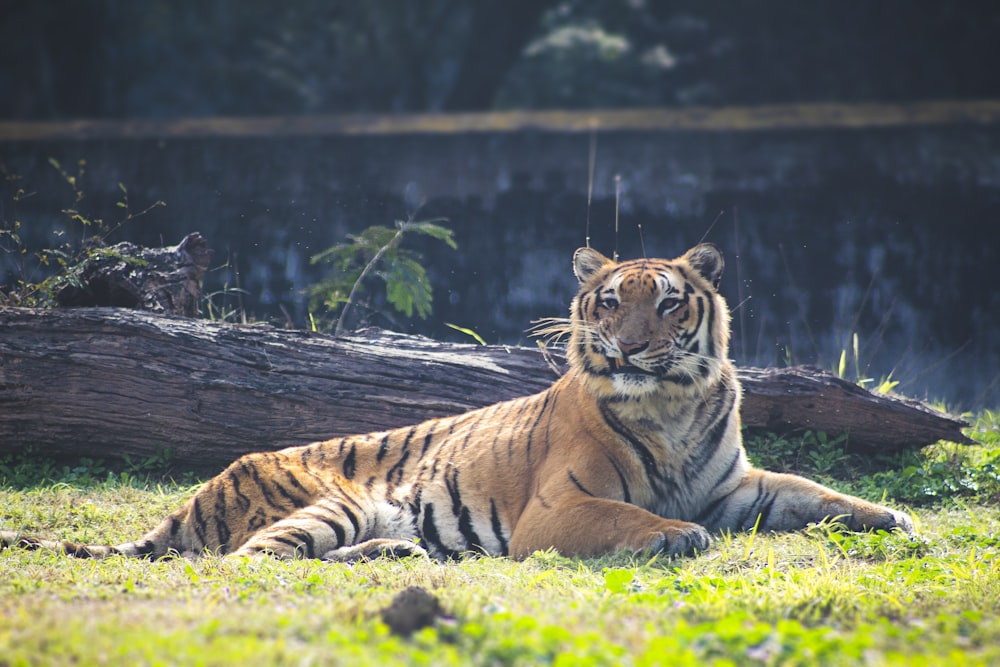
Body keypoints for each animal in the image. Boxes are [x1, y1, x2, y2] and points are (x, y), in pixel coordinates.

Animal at [0, 243, 916, 560]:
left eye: (666, 303)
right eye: (607, 302)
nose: (624, 347)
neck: (670, 405)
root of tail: (205, 488)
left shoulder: (736, 486)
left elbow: (817, 492)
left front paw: (895, 516)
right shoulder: (562, 508)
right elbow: (633, 516)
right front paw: (677, 534)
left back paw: (397, 557)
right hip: (326, 502)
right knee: (249, 559)